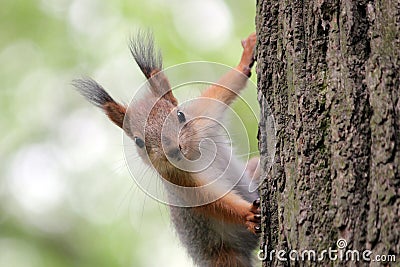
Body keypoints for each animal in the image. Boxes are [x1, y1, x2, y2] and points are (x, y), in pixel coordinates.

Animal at [74, 31, 262, 267]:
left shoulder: (202, 113)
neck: (195, 154)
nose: (173, 150)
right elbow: (212, 201)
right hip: (224, 256)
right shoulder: (178, 178)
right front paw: (247, 213)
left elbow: (223, 88)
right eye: (138, 142)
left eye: (180, 115)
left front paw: (246, 56)